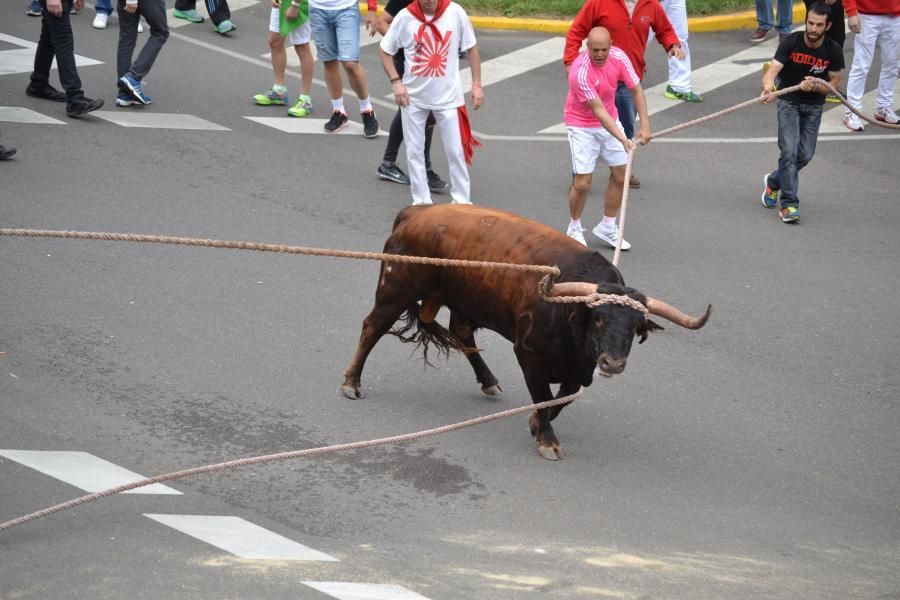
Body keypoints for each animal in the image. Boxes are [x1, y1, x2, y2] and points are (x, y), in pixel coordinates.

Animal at [342, 206, 712, 460]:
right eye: (599, 319)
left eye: (636, 327)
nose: (612, 363)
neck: (569, 314)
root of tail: (417, 211)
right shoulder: (529, 357)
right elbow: (543, 397)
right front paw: (546, 439)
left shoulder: (579, 371)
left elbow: (561, 399)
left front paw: (536, 423)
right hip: (395, 291)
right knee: (372, 327)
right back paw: (351, 382)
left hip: (456, 299)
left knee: (457, 331)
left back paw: (488, 380)